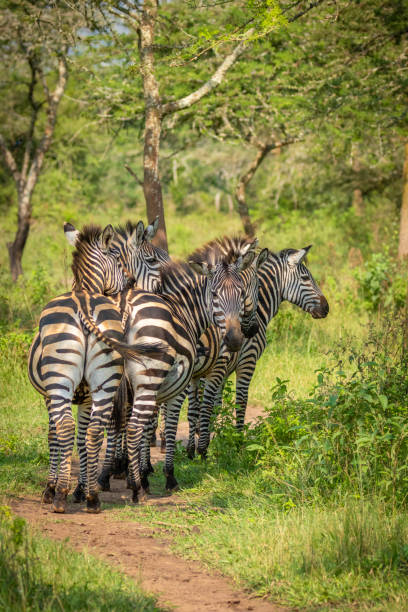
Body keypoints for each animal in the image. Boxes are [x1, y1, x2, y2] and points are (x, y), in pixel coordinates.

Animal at [27, 222, 166, 512]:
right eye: (116, 258)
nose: (131, 282)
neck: (84, 289)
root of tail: (84, 304)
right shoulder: (87, 397)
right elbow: (83, 438)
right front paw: (81, 487)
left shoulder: (48, 396)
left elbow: (54, 435)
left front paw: (53, 487)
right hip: (106, 380)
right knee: (98, 430)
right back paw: (95, 495)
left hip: (60, 380)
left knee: (66, 427)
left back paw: (60, 497)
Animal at [186, 246, 330, 456]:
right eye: (305, 278)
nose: (326, 308)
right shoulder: (247, 360)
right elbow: (240, 401)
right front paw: (237, 443)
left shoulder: (224, 370)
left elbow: (217, 406)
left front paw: (219, 440)